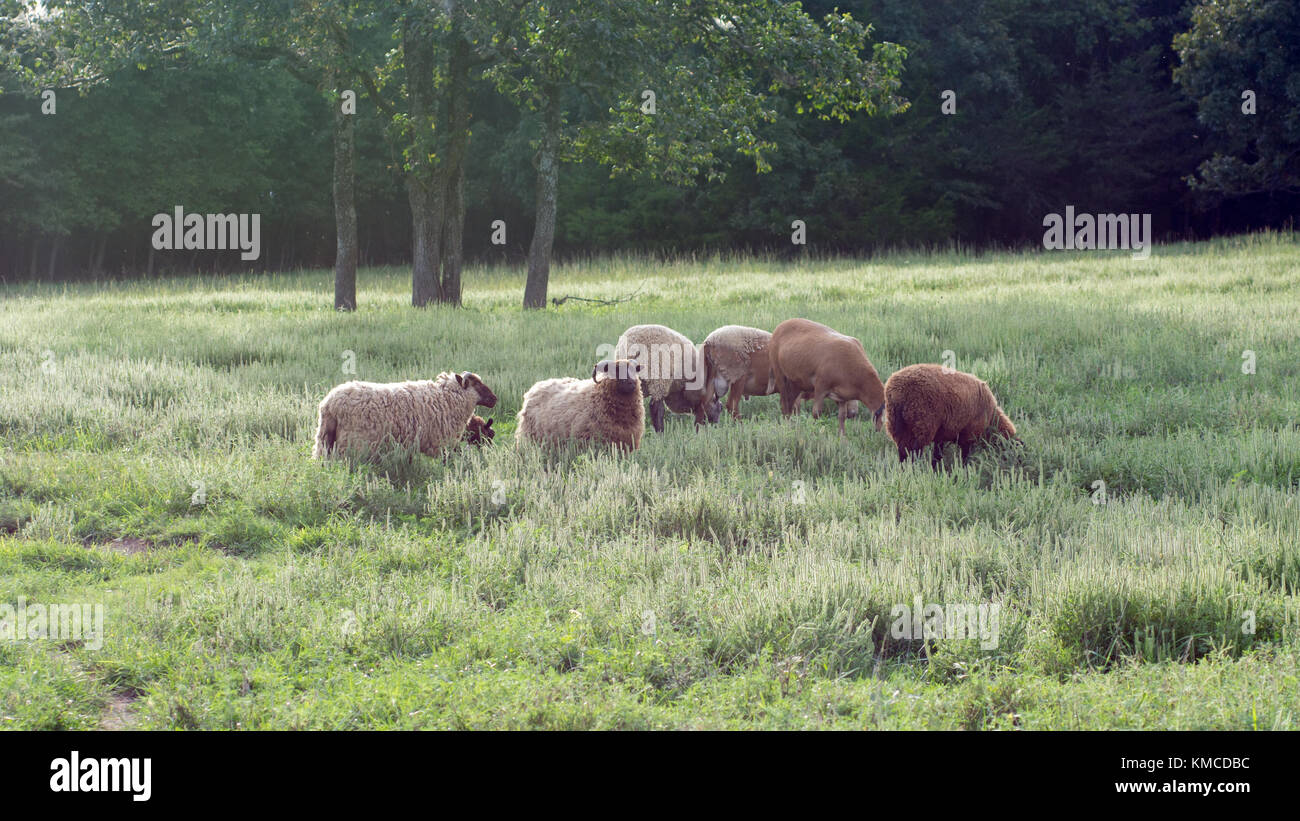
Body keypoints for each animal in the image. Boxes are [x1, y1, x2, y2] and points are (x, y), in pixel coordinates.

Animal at [312, 371, 498, 460]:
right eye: (476, 384)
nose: (494, 399)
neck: (447, 396)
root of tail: (329, 404)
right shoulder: (443, 443)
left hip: (325, 441)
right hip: (352, 444)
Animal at [883, 363, 1018, 469]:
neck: (991, 419)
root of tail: (899, 392)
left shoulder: (941, 434)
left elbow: (937, 455)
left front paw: (936, 470)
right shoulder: (968, 434)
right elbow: (964, 457)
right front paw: (963, 471)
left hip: (896, 425)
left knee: (903, 453)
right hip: (922, 425)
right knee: (914, 453)